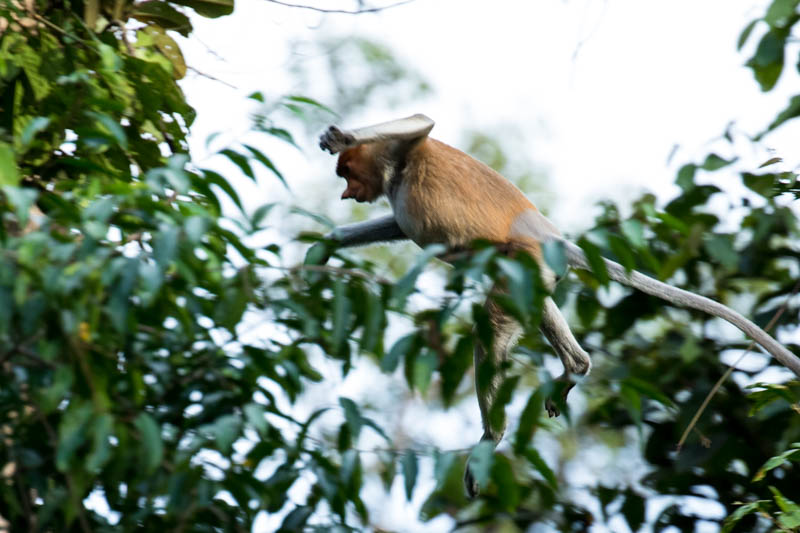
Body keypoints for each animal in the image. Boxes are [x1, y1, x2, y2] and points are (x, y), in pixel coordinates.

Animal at [316, 113, 800, 498]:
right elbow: (397, 224)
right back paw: (576, 366)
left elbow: (420, 122)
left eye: (346, 174)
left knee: (491, 326)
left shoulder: (402, 150)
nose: (344, 195)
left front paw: (339, 135)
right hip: (531, 270)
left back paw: (492, 436)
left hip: (524, 260)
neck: (393, 173)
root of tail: (551, 237)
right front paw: (325, 246)